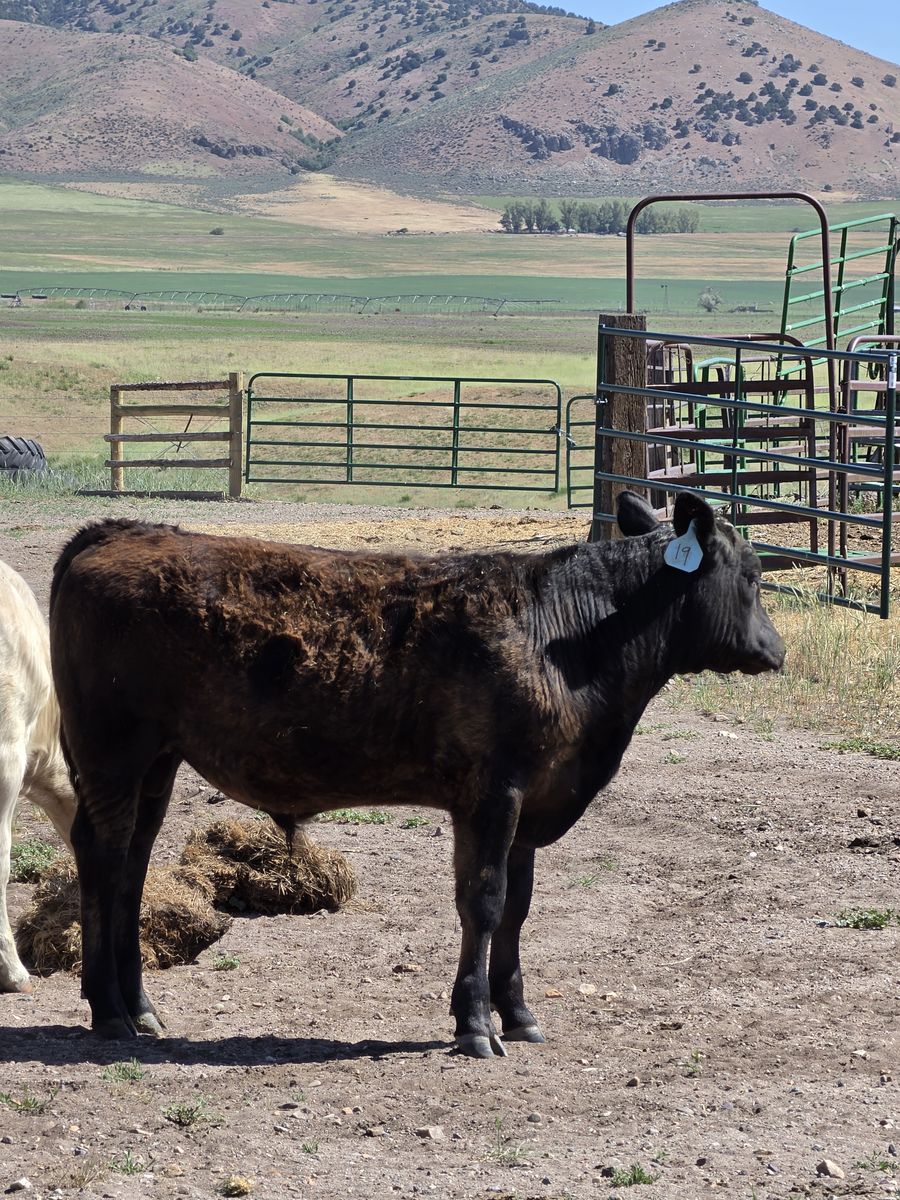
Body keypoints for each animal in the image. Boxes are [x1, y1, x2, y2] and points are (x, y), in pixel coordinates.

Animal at [49, 491, 784, 1056]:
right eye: (751, 574)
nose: (776, 650)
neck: (563, 635)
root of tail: (118, 531)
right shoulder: (492, 794)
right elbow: (483, 902)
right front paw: (475, 1023)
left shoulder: (530, 802)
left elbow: (518, 907)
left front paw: (518, 1015)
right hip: (112, 752)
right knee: (103, 857)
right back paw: (108, 1010)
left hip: (156, 762)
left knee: (133, 863)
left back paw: (140, 1006)